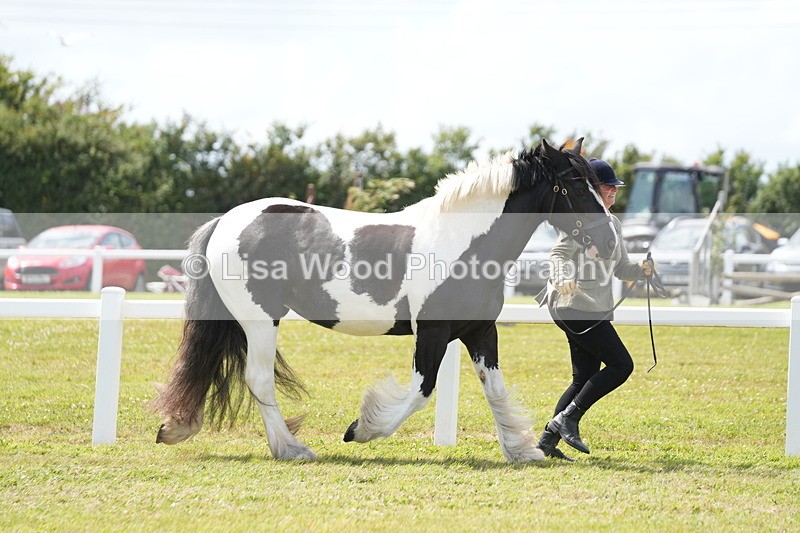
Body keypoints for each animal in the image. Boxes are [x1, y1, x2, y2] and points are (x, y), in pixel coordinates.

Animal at [152, 138, 618, 463]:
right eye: (575, 186)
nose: (612, 241)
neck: (464, 242)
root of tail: (225, 221)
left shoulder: (480, 331)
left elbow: (496, 389)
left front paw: (522, 450)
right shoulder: (432, 332)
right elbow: (420, 392)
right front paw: (360, 429)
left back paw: (178, 429)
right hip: (259, 320)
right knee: (259, 379)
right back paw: (292, 449)